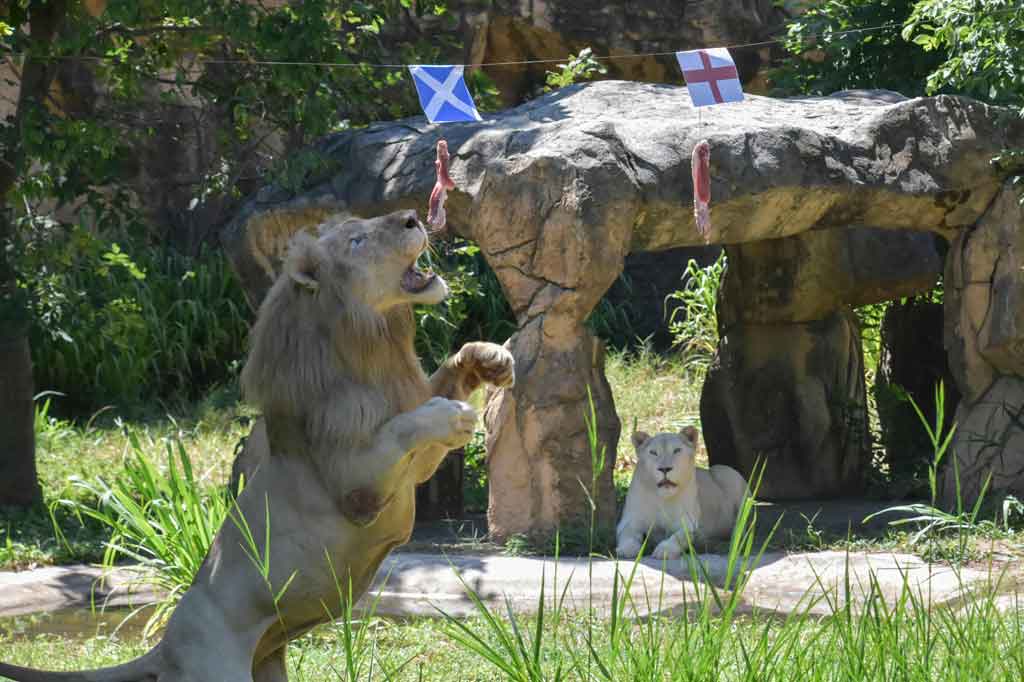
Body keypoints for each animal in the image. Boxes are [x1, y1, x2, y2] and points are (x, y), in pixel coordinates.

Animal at [0, 210, 514, 682]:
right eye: (357, 240)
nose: (411, 217)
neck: (372, 343)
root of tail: (165, 646)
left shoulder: (410, 468)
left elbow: (444, 383)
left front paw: (491, 359)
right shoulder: (357, 490)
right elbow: (404, 428)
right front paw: (452, 415)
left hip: (269, 661)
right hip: (219, 666)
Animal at [616, 427, 748, 560]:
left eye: (677, 450)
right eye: (653, 452)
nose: (665, 469)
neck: (662, 498)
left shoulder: (688, 523)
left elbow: (679, 537)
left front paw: (665, 550)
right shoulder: (630, 520)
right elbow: (627, 534)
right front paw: (626, 549)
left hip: (726, 472)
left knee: (743, 523)